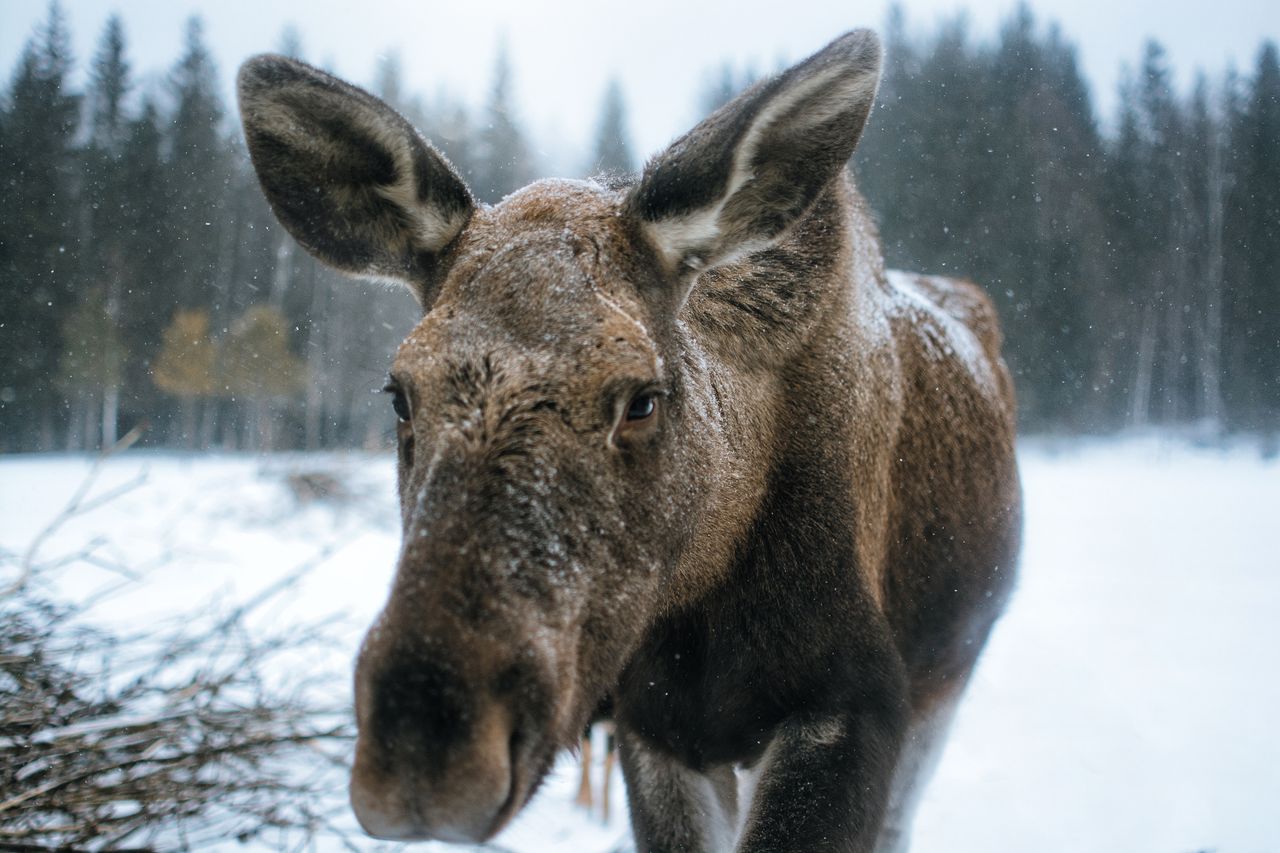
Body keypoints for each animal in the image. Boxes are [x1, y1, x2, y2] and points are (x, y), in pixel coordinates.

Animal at [238, 28, 1021, 853]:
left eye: (642, 398)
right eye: (399, 395)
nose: (424, 753)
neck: (711, 589)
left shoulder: (852, 698)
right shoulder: (656, 723)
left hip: (947, 677)